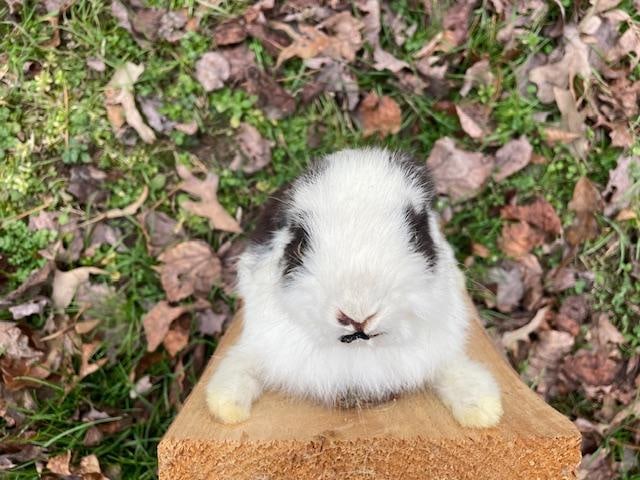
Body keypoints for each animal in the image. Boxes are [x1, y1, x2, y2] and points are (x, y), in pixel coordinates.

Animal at [206, 148, 503, 428]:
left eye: (418, 237)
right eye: (300, 245)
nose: (358, 315)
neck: (358, 353)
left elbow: (452, 369)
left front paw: (484, 409)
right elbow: (243, 363)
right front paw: (225, 406)